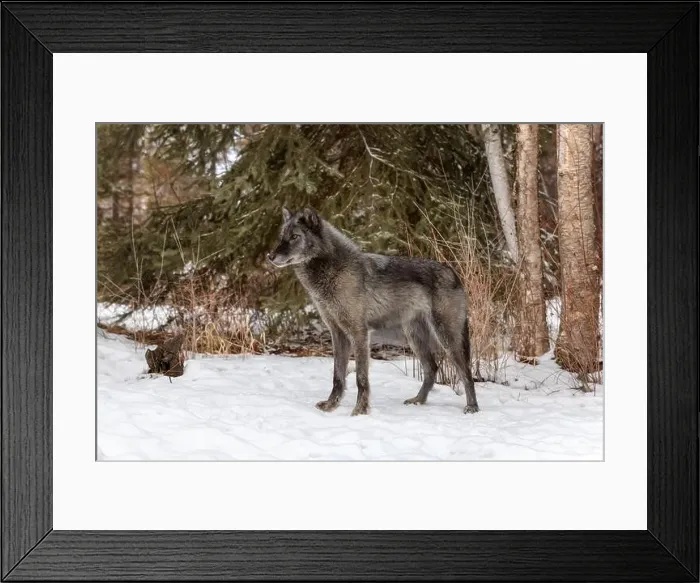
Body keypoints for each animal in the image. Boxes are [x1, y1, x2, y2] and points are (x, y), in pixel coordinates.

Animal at [267, 207, 479, 416]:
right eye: (282, 236)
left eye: (295, 237)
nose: (270, 256)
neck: (333, 270)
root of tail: (453, 272)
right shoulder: (338, 333)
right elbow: (338, 376)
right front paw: (331, 406)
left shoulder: (359, 333)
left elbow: (361, 378)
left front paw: (359, 411)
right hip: (415, 338)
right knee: (432, 369)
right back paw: (418, 401)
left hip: (446, 339)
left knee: (466, 372)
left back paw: (472, 407)